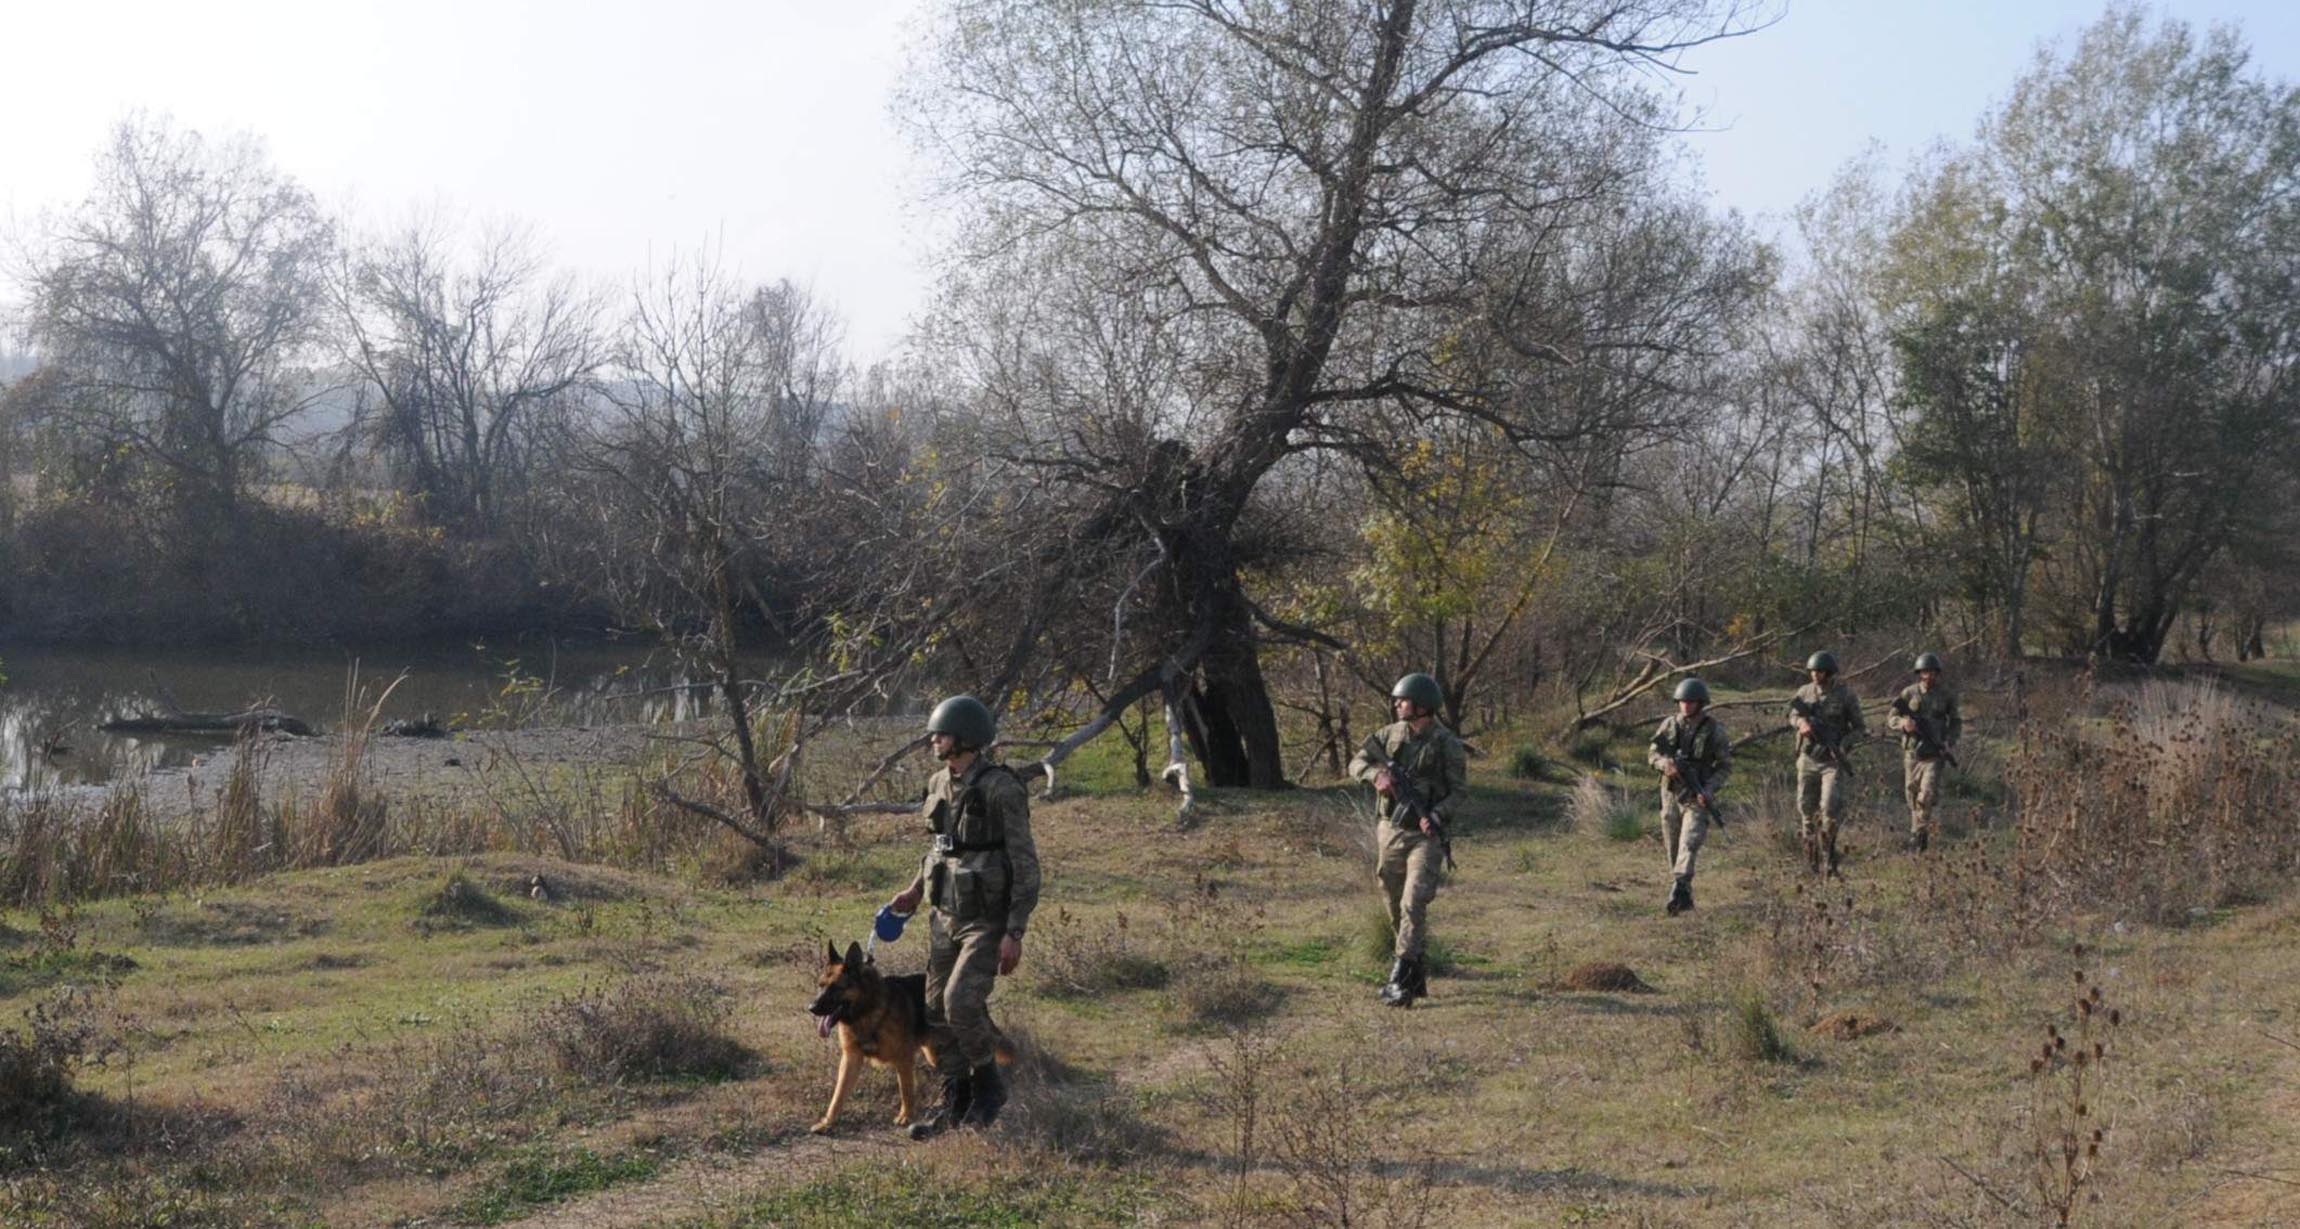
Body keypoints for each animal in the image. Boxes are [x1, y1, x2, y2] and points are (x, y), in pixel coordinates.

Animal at [814, 943, 1021, 1136]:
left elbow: (906, 1090)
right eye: (821, 985)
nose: (811, 1007)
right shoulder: (851, 1059)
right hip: (936, 1054)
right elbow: (838, 1095)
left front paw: (906, 1117)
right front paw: (827, 1123)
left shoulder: (903, 1059)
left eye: (835, 987)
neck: (866, 1010)